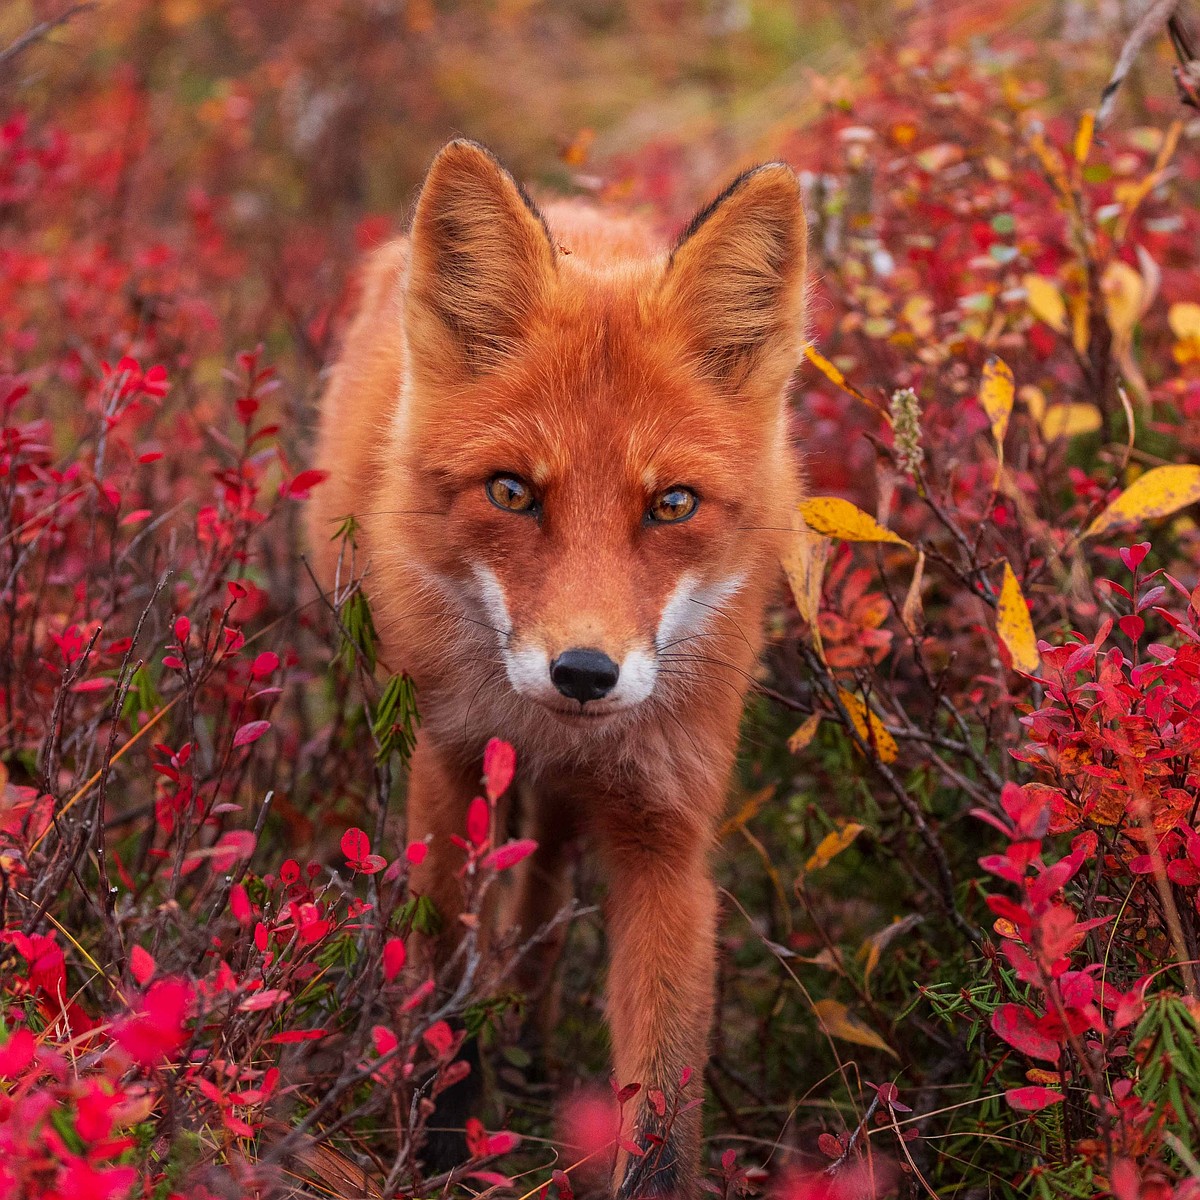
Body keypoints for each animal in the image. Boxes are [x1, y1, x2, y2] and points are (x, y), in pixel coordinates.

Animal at [304, 142, 806, 1200]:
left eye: (672, 504)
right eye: (511, 492)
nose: (583, 673)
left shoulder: (668, 837)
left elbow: (661, 1107)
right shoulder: (446, 769)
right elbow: (444, 983)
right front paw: (442, 1147)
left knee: (549, 875)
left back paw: (533, 1037)